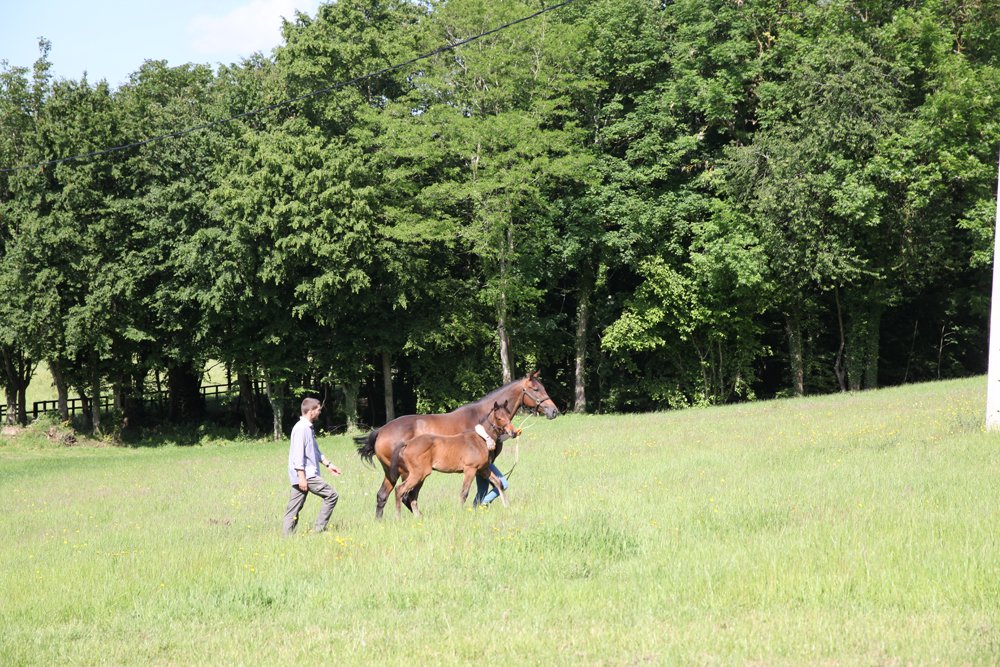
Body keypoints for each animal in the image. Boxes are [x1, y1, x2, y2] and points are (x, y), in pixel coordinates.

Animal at [388, 400, 518, 517]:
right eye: (499, 418)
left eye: (509, 415)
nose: (513, 433)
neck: (481, 439)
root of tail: (408, 443)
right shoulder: (470, 469)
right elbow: (464, 493)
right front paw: (460, 512)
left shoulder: (483, 469)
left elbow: (499, 483)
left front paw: (507, 506)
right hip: (418, 474)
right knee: (400, 490)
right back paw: (398, 518)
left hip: (421, 476)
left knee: (412, 495)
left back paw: (417, 517)